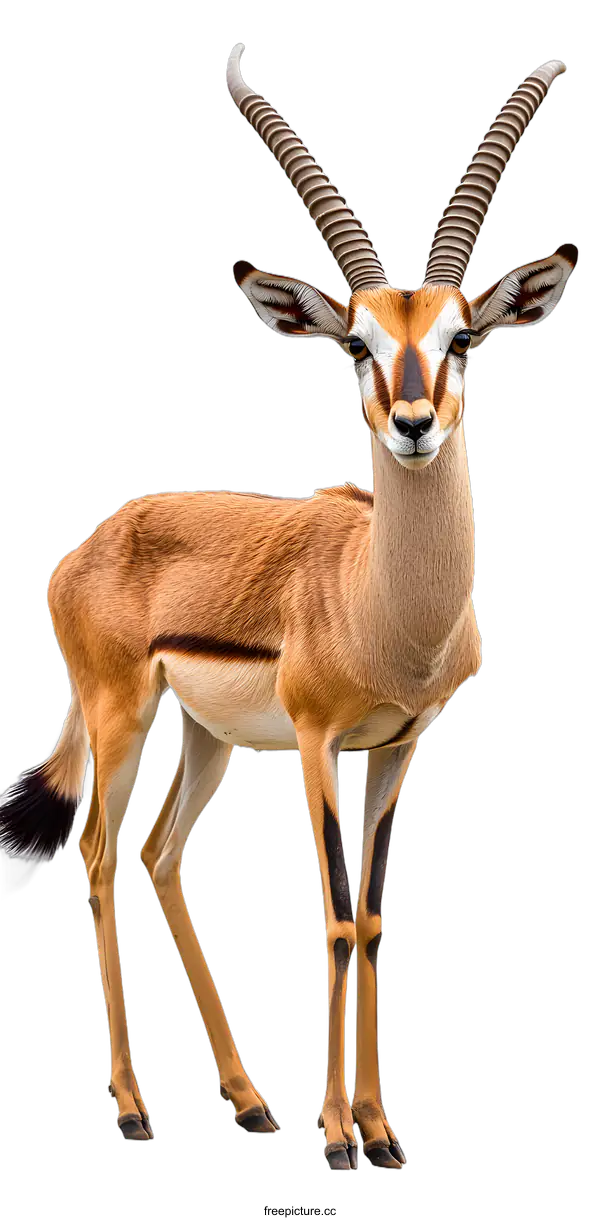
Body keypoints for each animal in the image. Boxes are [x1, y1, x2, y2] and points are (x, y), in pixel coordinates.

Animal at [0, 44, 578, 1172]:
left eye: (463, 340)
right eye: (354, 345)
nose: (412, 423)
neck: (384, 607)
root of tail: (95, 542)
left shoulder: (398, 746)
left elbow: (378, 920)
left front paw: (384, 1134)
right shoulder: (316, 743)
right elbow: (337, 912)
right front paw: (342, 1140)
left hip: (208, 737)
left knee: (160, 855)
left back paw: (249, 1101)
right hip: (122, 716)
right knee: (98, 854)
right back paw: (134, 1111)